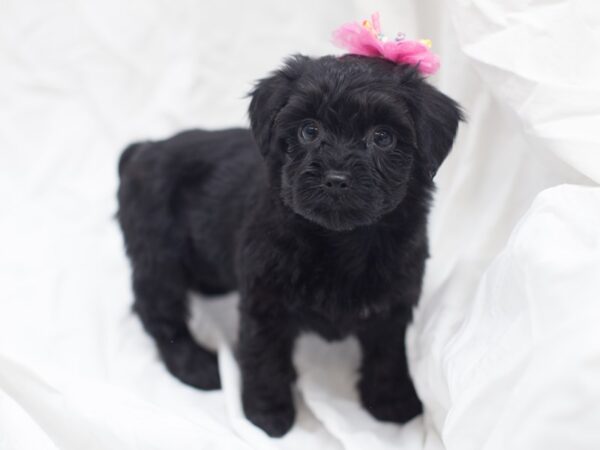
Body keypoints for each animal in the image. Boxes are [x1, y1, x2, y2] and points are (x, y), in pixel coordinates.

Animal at [118, 54, 464, 438]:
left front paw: (392, 400)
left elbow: (388, 353)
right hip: (158, 251)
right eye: (309, 131)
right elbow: (264, 356)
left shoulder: (392, 302)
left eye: (383, 137)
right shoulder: (265, 301)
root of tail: (145, 148)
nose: (336, 179)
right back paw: (196, 365)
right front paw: (267, 414)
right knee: (157, 310)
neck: (340, 240)